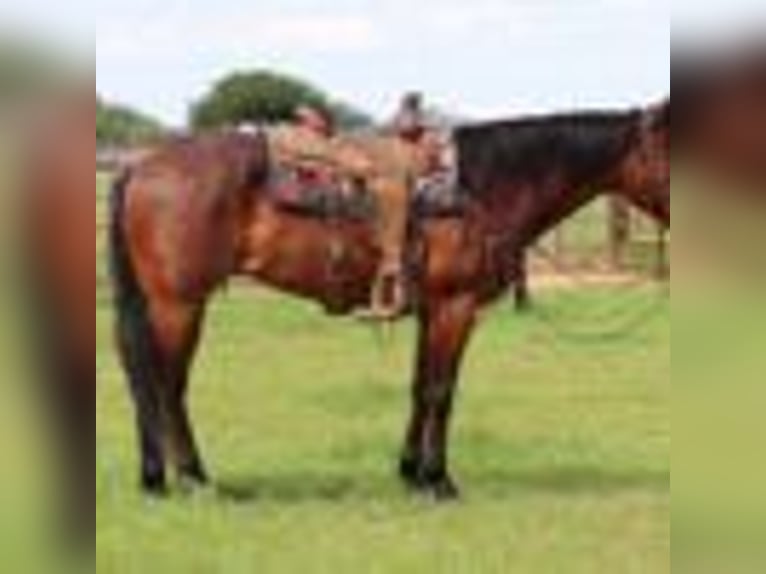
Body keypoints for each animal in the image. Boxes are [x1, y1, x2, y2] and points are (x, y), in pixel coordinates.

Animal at [109, 103, 668, 499]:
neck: (479, 187)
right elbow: (441, 391)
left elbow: (420, 388)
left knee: (148, 385)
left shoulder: (429, 311)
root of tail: (141, 165)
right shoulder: (456, 307)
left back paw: (155, 479)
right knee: (166, 386)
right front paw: (439, 482)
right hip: (179, 304)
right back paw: (193, 480)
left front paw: (409, 474)